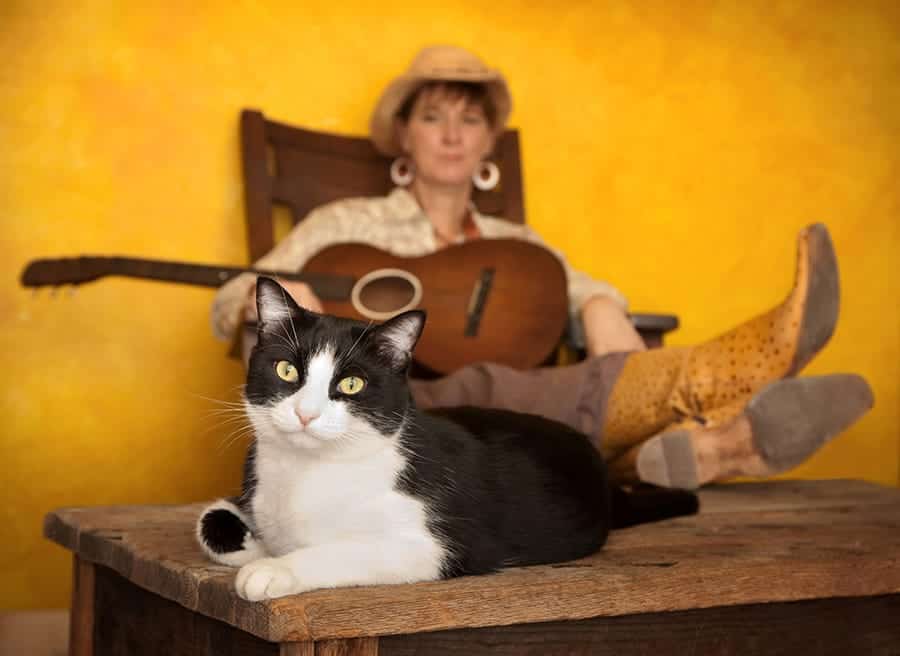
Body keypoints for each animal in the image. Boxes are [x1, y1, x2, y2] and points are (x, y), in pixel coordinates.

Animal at [200, 276, 700, 600]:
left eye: (351, 384)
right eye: (287, 370)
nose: (306, 413)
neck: (307, 474)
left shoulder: (438, 545)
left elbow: (345, 550)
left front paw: (271, 569)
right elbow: (213, 520)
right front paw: (250, 543)